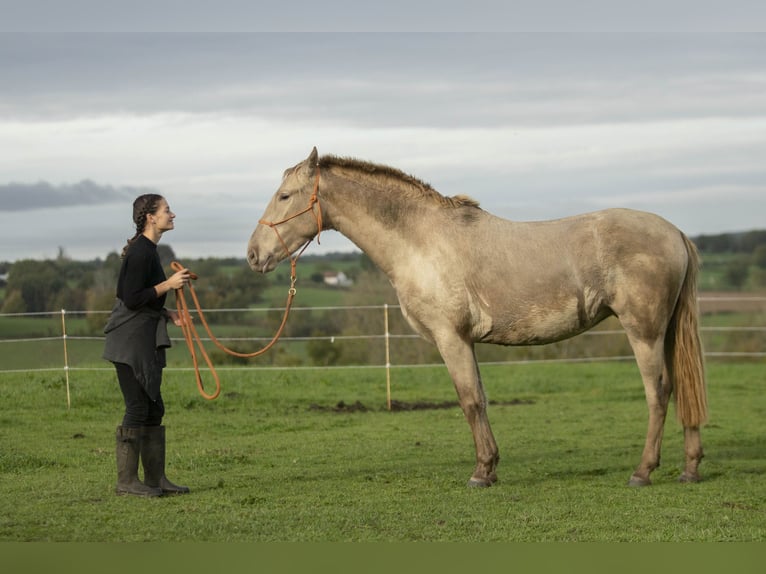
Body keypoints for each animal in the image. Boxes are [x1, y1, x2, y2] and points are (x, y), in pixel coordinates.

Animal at [248, 146, 708, 488]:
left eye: (285, 195)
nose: (254, 254)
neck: (421, 241)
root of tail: (675, 233)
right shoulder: (466, 341)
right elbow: (481, 399)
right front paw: (491, 466)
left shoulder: (451, 338)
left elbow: (469, 401)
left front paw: (481, 472)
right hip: (664, 332)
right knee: (682, 385)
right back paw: (689, 469)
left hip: (643, 332)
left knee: (659, 391)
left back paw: (642, 472)